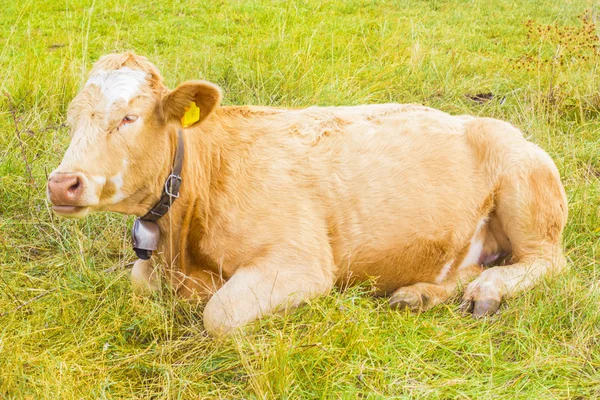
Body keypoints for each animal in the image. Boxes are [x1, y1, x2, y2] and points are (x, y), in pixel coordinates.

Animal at [47, 52, 568, 334]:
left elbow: (219, 313)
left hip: (527, 193)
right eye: (72, 118)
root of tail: (503, 127)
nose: (62, 183)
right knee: (474, 267)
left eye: (128, 117)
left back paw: (487, 292)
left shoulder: (300, 263)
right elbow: (138, 282)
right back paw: (420, 294)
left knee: (546, 262)